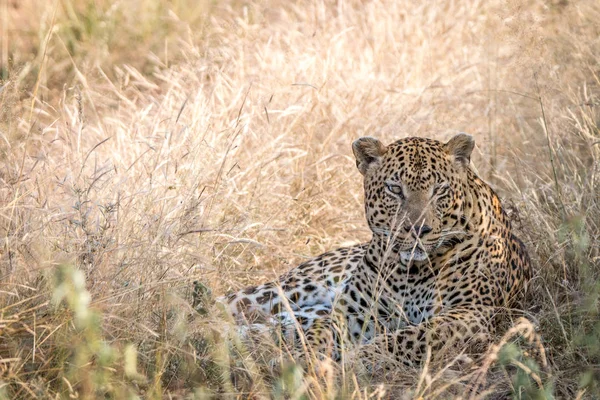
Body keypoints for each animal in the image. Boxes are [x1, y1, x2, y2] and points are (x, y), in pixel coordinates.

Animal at [213, 134, 532, 368]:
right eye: (395, 189)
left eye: (439, 190)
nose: (418, 229)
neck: (410, 272)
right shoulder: (354, 311)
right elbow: (320, 333)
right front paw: (305, 360)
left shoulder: (469, 314)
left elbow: (409, 338)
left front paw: (359, 359)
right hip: (284, 290)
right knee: (222, 306)